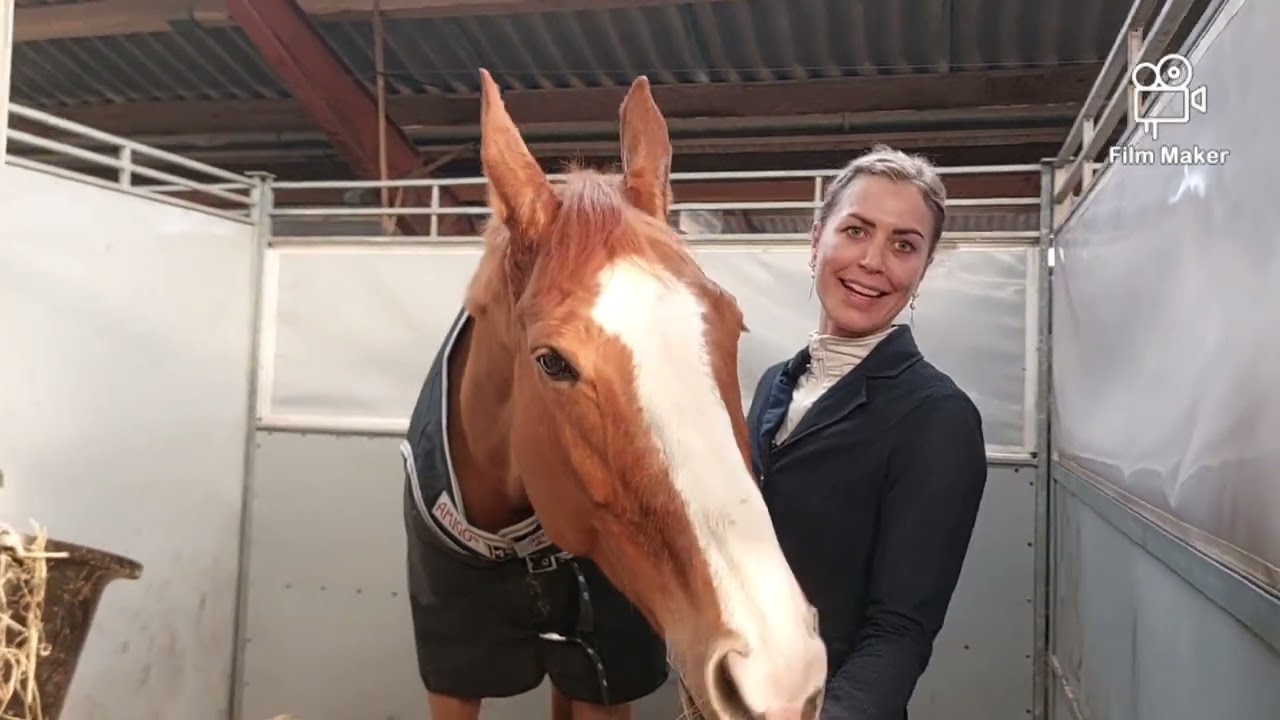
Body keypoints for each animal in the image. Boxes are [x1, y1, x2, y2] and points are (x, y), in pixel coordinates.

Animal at [398, 69, 827, 720]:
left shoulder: (603, 672)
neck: (513, 546)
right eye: (552, 362)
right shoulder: (453, 669)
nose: (780, 673)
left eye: (734, 324)